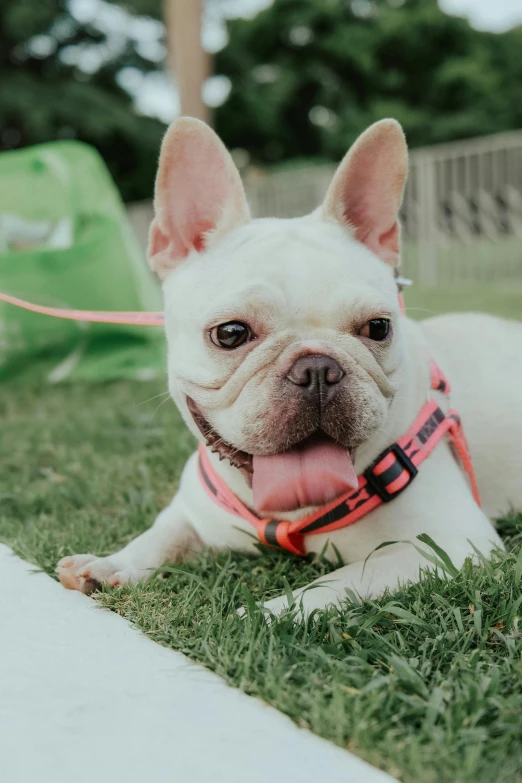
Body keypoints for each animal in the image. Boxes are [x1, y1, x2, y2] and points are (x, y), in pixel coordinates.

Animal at [57, 118, 520, 620]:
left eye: (378, 328)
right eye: (230, 334)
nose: (317, 369)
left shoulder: (449, 545)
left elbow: (334, 583)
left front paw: (258, 616)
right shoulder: (191, 510)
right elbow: (160, 534)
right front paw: (111, 563)